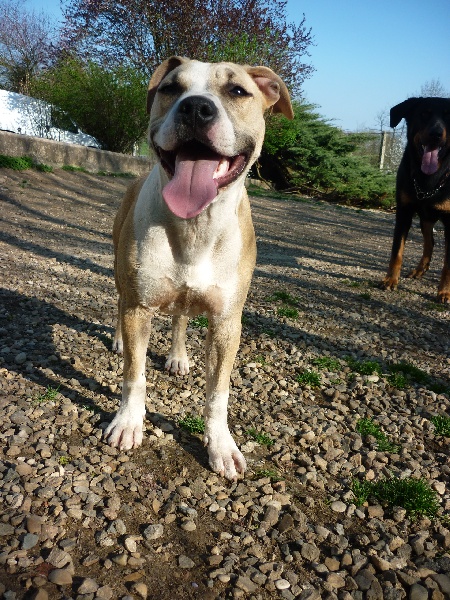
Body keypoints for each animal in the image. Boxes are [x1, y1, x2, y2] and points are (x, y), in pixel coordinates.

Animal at [106, 56, 296, 478]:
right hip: (122, 277)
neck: (195, 227)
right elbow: (134, 376)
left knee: (180, 317)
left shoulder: (227, 322)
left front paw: (221, 446)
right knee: (121, 303)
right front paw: (128, 423)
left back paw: (178, 356)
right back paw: (119, 339)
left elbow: (218, 393)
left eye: (238, 91)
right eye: (170, 88)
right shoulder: (140, 306)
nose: (195, 107)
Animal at [382, 96, 450, 302]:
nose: (436, 134)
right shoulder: (404, 212)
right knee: (430, 243)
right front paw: (390, 280)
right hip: (425, 220)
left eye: (449, 116)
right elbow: (397, 251)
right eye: (424, 114)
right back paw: (419, 270)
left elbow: (448, 264)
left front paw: (445, 291)